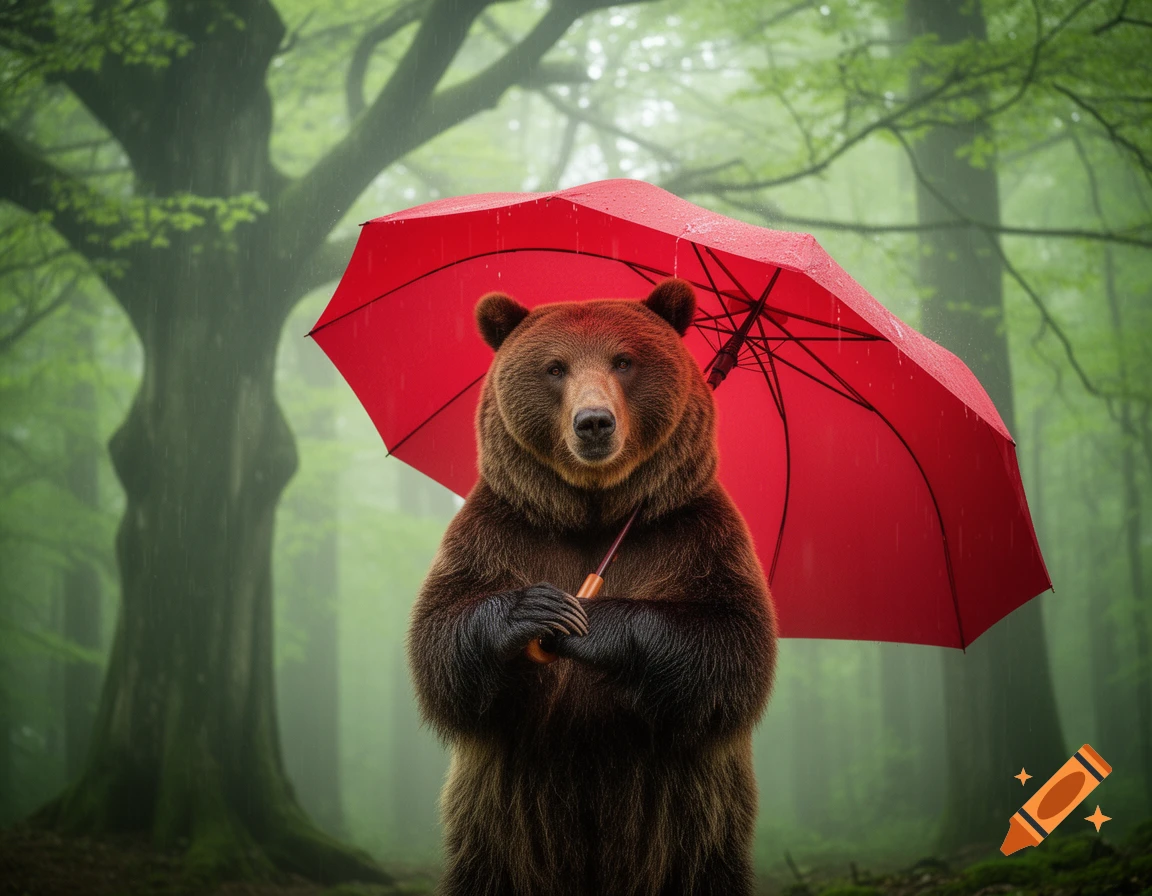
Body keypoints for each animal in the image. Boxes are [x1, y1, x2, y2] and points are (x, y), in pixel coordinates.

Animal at [407, 278, 778, 896]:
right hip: (500, 830)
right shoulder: (502, 528)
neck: (595, 509)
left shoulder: (693, 532)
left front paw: (588, 624)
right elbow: (441, 636)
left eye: (623, 360)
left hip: (692, 831)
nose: (594, 422)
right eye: (555, 367)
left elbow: (732, 645)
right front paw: (537, 612)